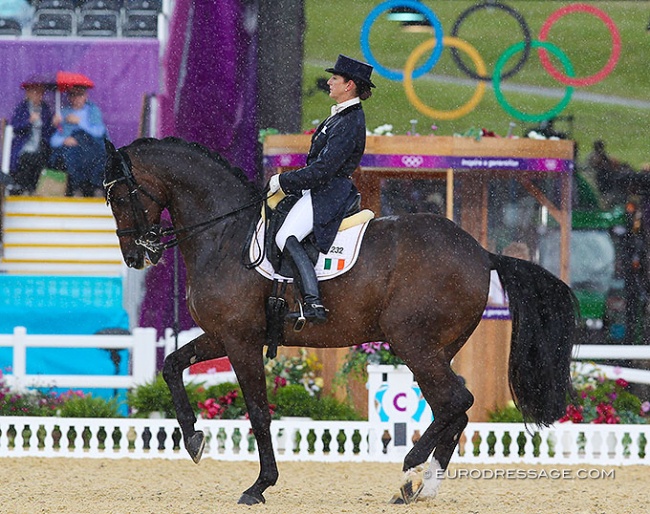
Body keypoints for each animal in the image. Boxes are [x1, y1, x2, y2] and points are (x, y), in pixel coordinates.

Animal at [102, 135, 576, 504]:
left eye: (120, 196)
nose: (136, 255)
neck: (223, 234)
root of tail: (480, 252)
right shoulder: (221, 336)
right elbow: (170, 366)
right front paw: (194, 439)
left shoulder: (240, 341)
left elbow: (258, 413)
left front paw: (259, 486)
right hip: (438, 347)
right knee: (453, 407)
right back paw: (423, 487)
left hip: (413, 343)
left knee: (456, 400)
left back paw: (410, 469)